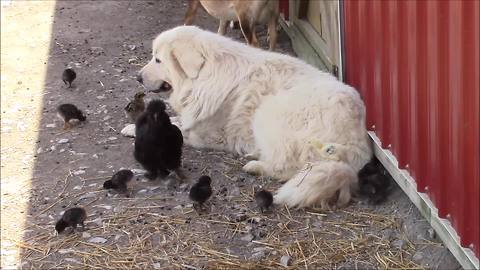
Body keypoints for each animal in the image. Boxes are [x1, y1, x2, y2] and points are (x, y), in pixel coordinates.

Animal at [136, 25, 372, 209]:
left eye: (158, 60)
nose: (138, 77)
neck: (205, 77)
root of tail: (355, 143)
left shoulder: (205, 135)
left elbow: (177, 127)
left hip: (267, 112)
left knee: (286, 167)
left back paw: (255, 166)